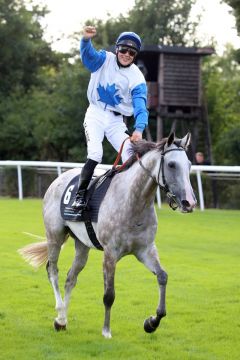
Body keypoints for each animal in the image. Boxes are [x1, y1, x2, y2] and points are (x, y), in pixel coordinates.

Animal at [18, 132, 195, 338]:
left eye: (189, 165)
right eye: (172, 164)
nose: (189, 202)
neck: (134, 202)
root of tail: (59, 179)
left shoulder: (145, 250)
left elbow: (163, 277)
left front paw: (152, 322)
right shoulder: (110, 253)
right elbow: (109, 294)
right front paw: (106, 331)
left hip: (82, 244)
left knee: (71, 278)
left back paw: (62, 320)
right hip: (54, 236)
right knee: (52, 270)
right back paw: (60, 311)